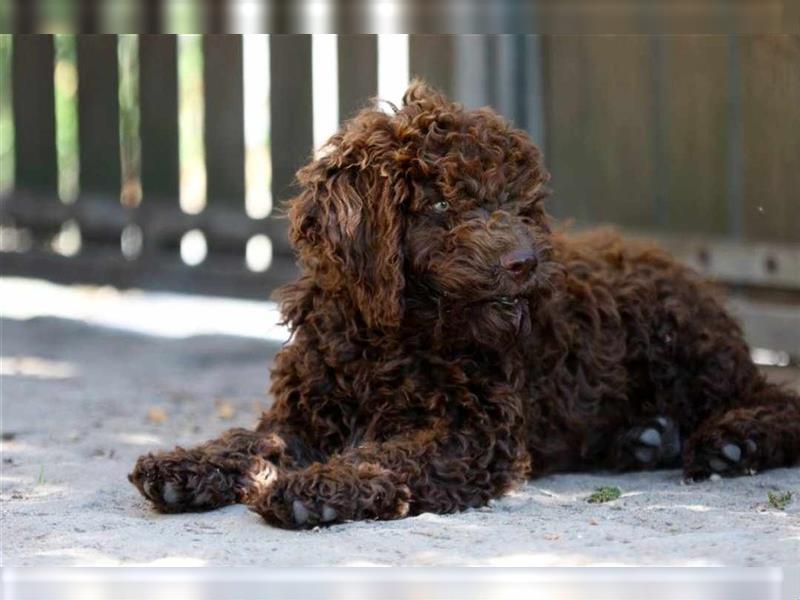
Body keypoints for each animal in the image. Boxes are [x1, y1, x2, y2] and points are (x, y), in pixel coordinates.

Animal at [130, 81, 800, 528]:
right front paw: (188, 467)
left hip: (684, 352)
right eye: (438, 206)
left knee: (774, 401)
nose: (524, 263)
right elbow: (251, 439)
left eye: (516, 204)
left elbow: (394, 453)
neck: (387, 339)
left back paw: (729, 443)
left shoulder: (475, 433)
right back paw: (645, 438)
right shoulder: (303, 416)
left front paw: (323, 485)